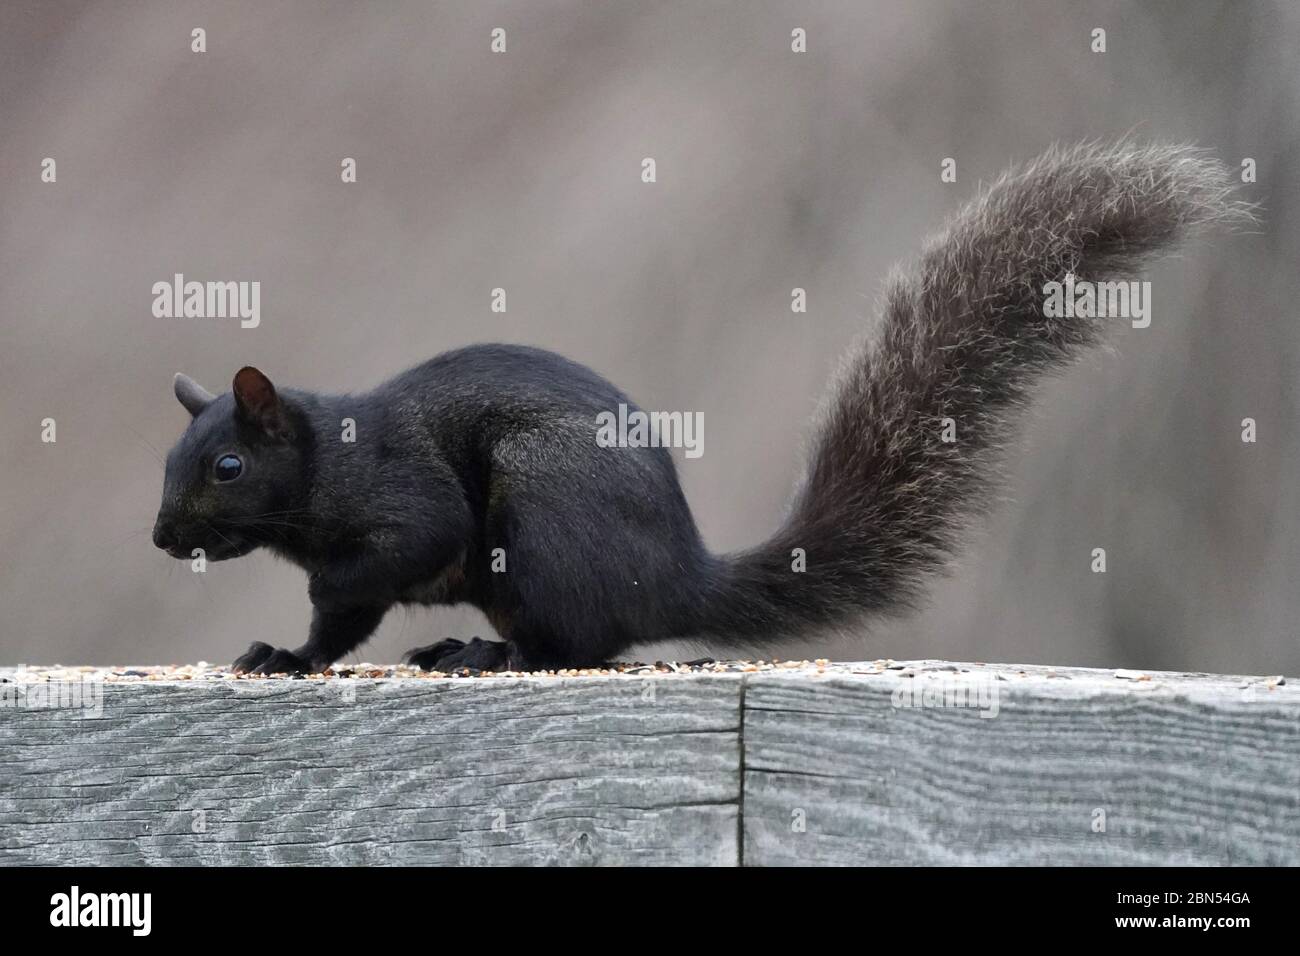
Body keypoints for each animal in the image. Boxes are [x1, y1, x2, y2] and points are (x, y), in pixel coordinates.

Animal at [152, 143, 1248, 681]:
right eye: (171, 462)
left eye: (228, 468)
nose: (163, 538)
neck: (321, 459)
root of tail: (679, 578)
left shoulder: (395, 496)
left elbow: (371, 577)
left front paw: (288, 650)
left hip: (544, 518)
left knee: (577, 643)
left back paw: (487, 649)